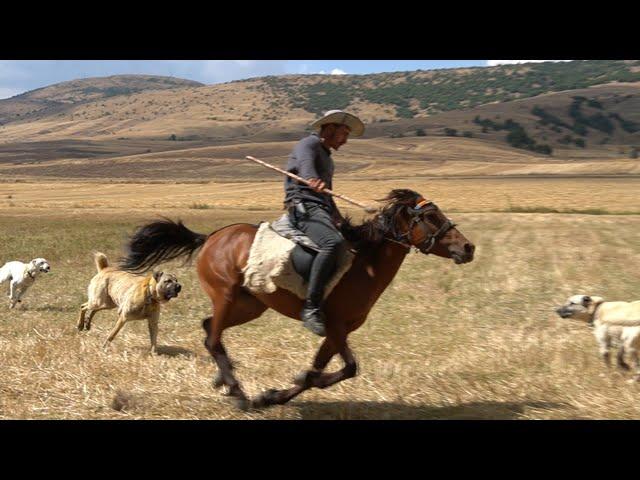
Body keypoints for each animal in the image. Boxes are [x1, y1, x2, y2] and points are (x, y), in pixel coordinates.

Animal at [121, 188, 476, 408]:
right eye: (430, 217)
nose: (468, 247)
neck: (365, 263)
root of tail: (211, 237)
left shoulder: (339, 331)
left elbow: (330, 370)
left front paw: (273, 395)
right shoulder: (333, 326)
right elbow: (341, 370)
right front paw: (272, 394)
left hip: (251, 305)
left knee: (210, 328)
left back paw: (224, 380)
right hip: (227, 297)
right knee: (212, 337)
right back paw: (237, 391)